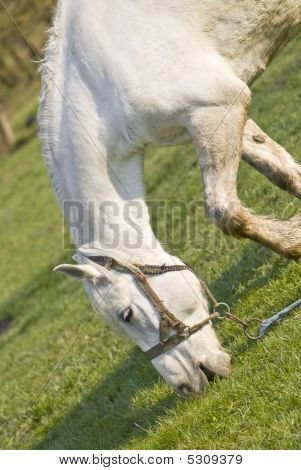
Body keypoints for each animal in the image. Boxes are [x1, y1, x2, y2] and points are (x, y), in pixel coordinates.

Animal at [38, 0, 300, 394]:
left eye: (126, 314)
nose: (189, 386)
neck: (98, 84)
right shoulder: (215, 118)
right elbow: (281, 170)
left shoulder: (213, 109)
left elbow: (226, 212)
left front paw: (295, 244)